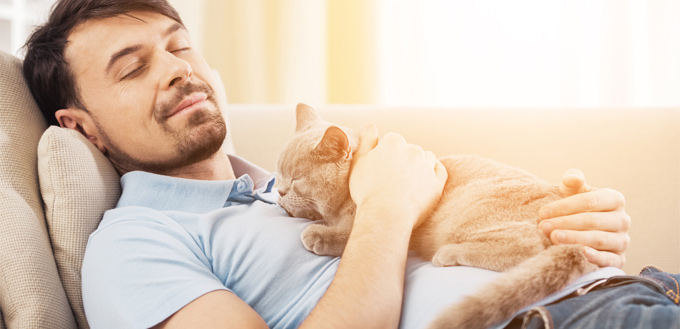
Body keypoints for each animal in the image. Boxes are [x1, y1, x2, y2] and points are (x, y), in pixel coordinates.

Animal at [276, 104, 596, 326]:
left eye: (296, 179)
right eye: (278, 173)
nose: (278, 191)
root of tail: (580, 245)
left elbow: (349, 233)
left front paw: (319, 234)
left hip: (467, 213)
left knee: (527, 243)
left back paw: (449, 253)